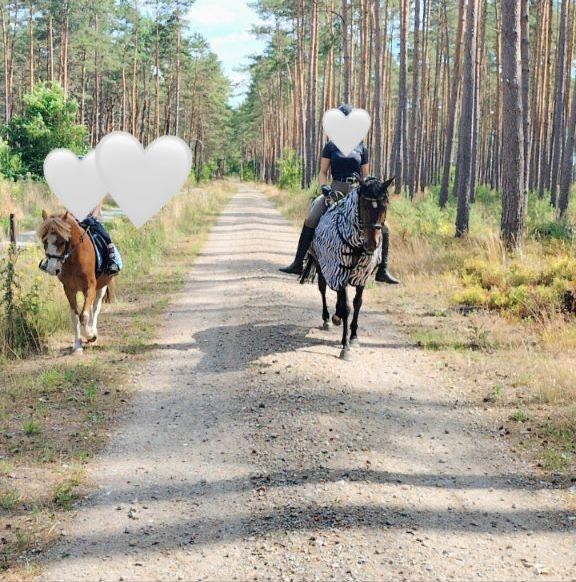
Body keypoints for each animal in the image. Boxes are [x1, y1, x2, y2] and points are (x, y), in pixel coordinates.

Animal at [38, 212, 113, 354]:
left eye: (61, 241)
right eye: (45, 241)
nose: (51, 269)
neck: (74, 258)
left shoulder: (90, 288)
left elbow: (84, 316)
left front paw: (90, 335)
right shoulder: (69, 289)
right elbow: (75, 316)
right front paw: (77, 345)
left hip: (101, 287)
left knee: (95, 308)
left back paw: (93, 331)